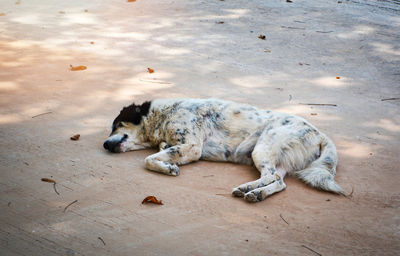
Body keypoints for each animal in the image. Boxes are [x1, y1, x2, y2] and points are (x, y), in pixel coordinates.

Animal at [104, 98, 344, 202]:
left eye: (116, 125)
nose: (105, 145)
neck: (164, 114)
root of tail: (319, 134)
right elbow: (162, 150)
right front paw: (167, 159)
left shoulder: (193, 147)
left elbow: (147, 159)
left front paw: (169, 167)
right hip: (276, 159)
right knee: (280, 182)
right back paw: (255, 192)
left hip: (262, 148)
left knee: (272, 176)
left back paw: (249, 189)